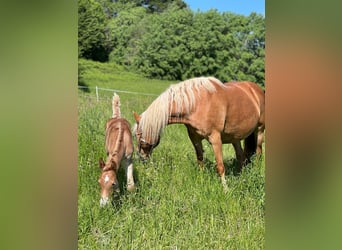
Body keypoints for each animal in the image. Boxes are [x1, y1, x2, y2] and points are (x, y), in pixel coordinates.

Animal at [133, 76, 264, 188]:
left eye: (138, 135)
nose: (141, 157)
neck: (198, 103)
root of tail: (256, 89)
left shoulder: (215, 139)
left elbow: (220, 166)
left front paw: (225, 189)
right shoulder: (195, 138)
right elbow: (200, 161)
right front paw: (201, 181)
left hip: (259, 131)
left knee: (258, 153)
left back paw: (256, 172)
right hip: (234, 137)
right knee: (241, 156)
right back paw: (241, 177)